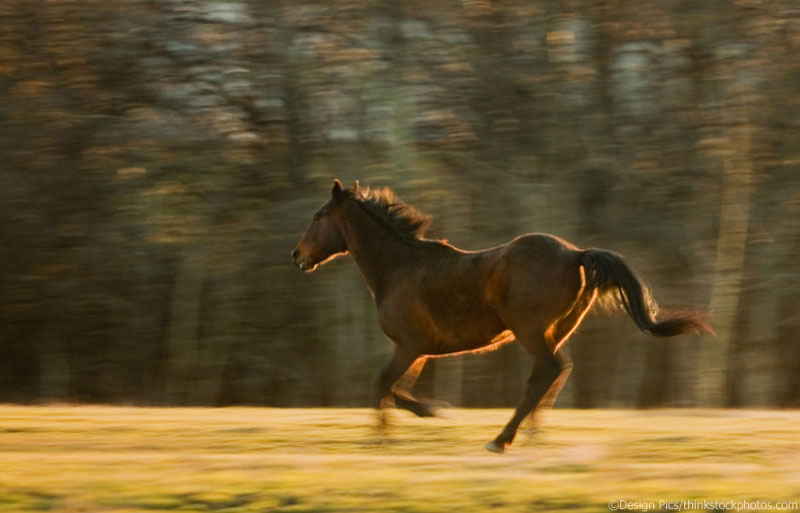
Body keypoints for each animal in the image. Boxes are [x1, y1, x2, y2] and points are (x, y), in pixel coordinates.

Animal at [292, 180, 712, 452]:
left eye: (317, 216)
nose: (297, 256)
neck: (399, 268)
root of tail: (576, 254)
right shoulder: (418, 350)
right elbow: (396, 388)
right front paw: (428, 413)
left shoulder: (408, 346)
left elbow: (382, 383)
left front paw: (384, 435)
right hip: (556, 330)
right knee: (556, 371)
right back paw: (532, 433)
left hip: (529, 330)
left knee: (547, 371)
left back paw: (501, 439)